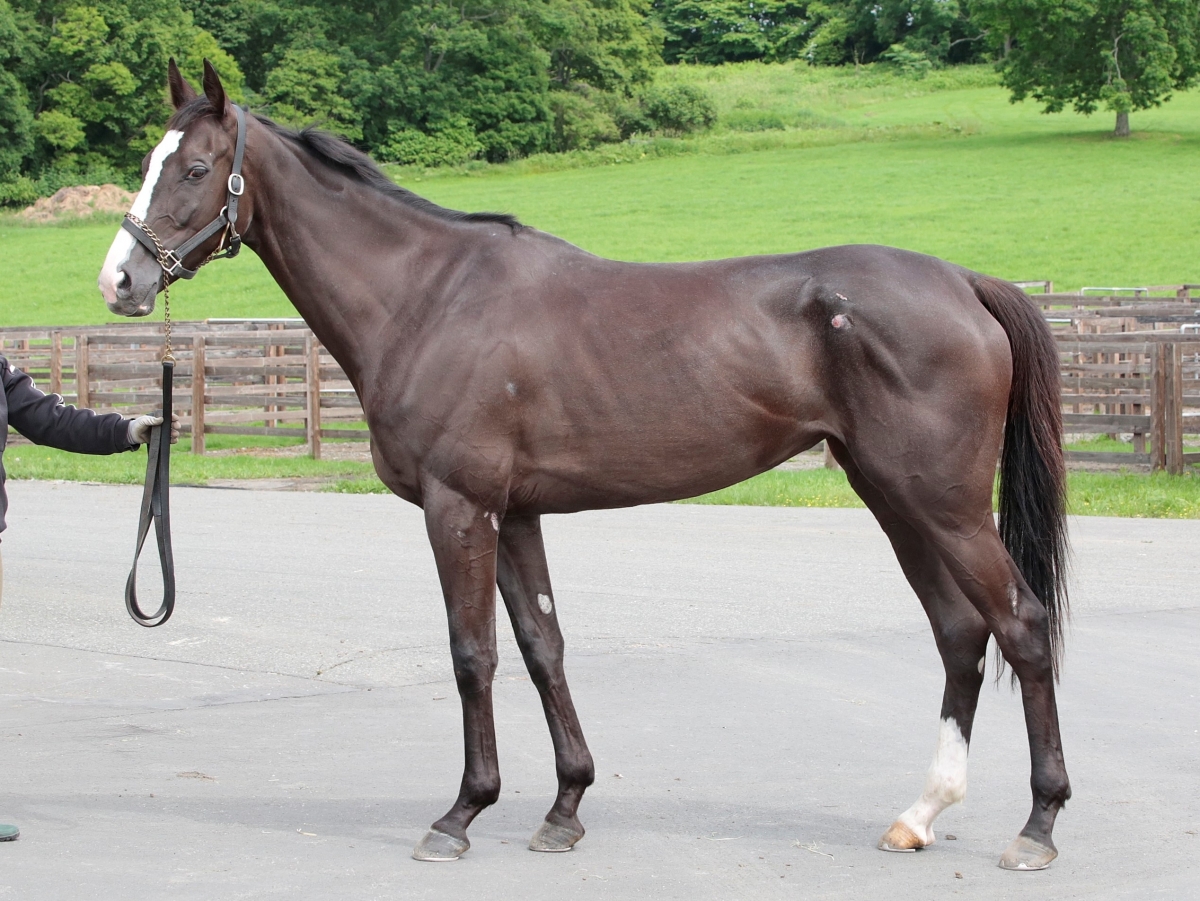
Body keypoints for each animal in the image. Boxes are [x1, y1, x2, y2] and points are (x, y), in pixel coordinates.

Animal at [97, 60, 1071, 871]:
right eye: (151, 161)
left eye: (194, 169)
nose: (121, 281)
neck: (429, 296)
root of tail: (963, 282)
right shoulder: (517, 512)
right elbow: (543, 647)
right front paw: (564, 808)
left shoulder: (459, 506)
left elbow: (473, 653)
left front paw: (460, 814)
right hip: (894, 497)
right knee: (960, 631)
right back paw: (921, 813)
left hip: (942, 503)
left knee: (1021, 624)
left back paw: (1037, 826)